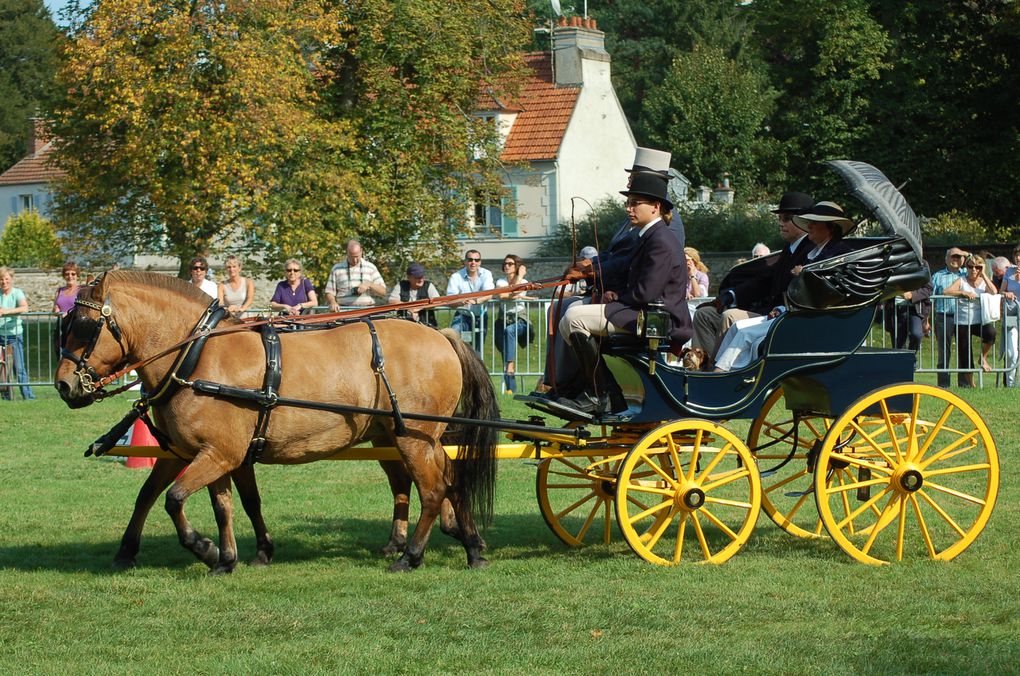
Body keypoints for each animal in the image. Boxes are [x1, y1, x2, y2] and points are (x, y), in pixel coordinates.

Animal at [57, 269, 499, 570]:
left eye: (86, 326)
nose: (64, 384)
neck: (196, 355)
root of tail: (442, 336)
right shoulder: (201, 453)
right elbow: (193, 500)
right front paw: (228, 556)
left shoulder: (218, 454)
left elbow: (175, 499)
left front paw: (206, 548)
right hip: (404, 436)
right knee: (449, 480)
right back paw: (471, 545)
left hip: (413, 437)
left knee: (433, 489)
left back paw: (411, 556)